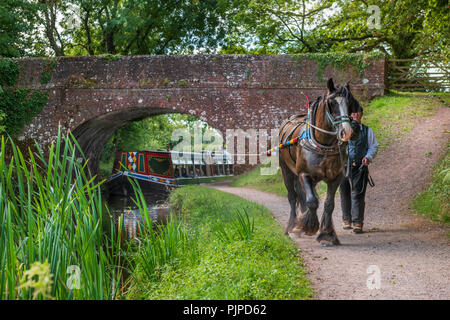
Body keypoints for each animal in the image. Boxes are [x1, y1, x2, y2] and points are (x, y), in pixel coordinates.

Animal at [280, 78, 360, 245]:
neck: (323, 145)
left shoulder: (335, 178)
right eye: (332, 103)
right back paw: (292, 226)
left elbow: (329, 204)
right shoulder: (304, 174)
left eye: (350, 102)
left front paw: (327, 234)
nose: (347, 131)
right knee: (292, 197)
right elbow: (312, 201)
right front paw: (309, 226)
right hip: (287, 172)